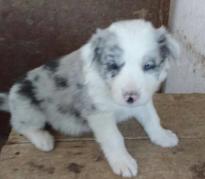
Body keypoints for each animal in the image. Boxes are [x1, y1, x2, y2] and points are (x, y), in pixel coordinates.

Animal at [0, 19, 179, 178]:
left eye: (148, 66)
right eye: (113, 66)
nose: (130, 97)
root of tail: (10, 97)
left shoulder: (143, 102)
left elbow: (153, 120)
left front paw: (162, 137)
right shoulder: (99, 114)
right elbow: (114, 138)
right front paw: (123, 162)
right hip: (29, 108)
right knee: (22, 126)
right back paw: (44, 140)